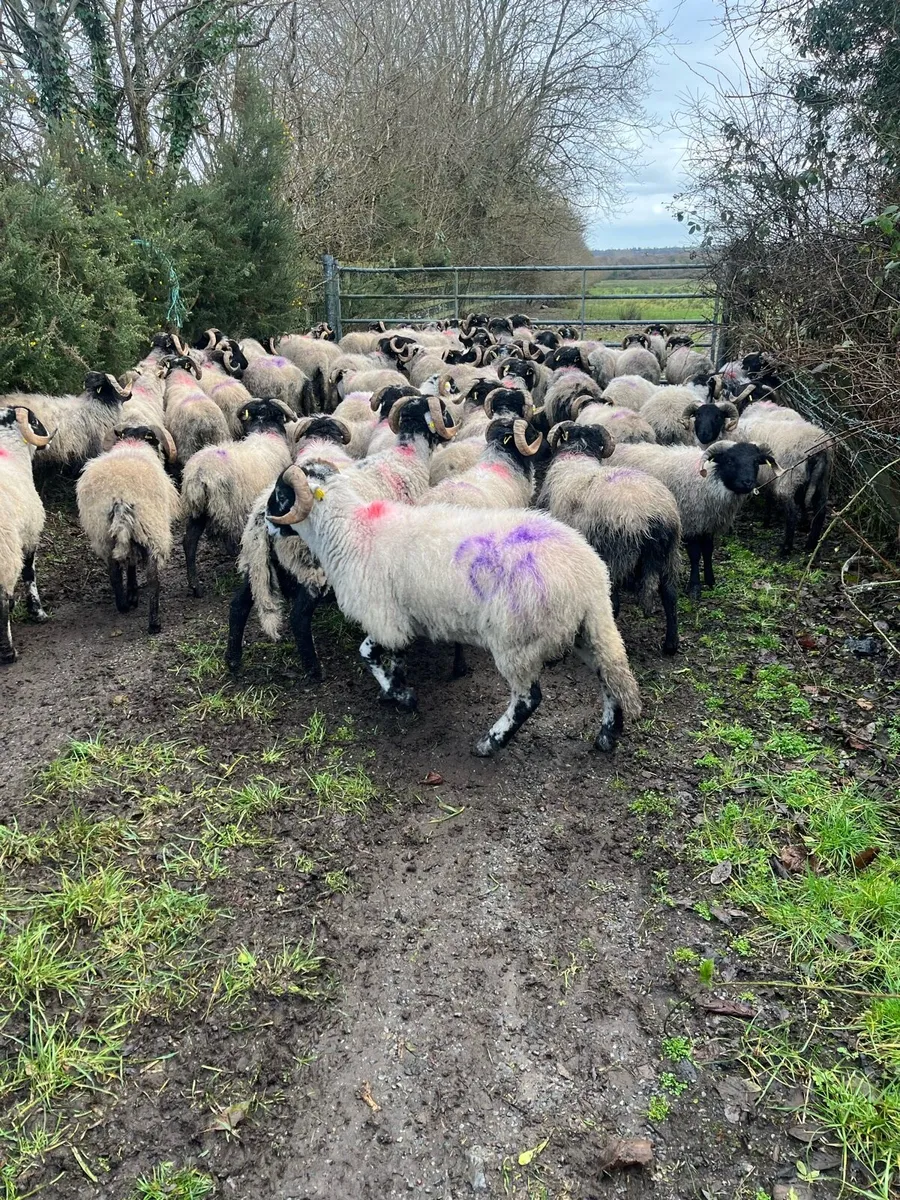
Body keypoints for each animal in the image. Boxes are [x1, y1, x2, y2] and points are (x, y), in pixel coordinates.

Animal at [76, 423, 180, 633]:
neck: (133, 442)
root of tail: (120, 496)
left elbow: (130, 562)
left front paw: (131, 594)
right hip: (152, 528)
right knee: (152, 578)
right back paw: (154, 623)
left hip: (103, 535)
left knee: (114, 573)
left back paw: (123, 605)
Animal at [265, 463, 641, 755]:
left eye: (281, 493)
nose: (267, 522)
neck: (352, 531)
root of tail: (590, 576)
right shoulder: (402, 618)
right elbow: (397, 656)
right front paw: (396, 690)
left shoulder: (384, 616)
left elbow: (367, 653)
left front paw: (400, 695)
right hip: (583, 629)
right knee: (608, 676)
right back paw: (607, 735)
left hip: (518, 640)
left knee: (528, 699)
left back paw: (490, 743)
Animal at [539, 421, 680, 654]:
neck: (577, 455)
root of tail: (655, 516)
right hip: (670, 552)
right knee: (670, 595)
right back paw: (671, 644)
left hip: (616, 555)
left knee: (614, 604)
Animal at [608, 440, 781, 597]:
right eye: (730, 461)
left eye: (755, 462)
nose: (748, 483)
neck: (709, 479)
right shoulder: (691, 523)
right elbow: (695, 554)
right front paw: (694, 586)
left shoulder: (708, 524)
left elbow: (708, 551)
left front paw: (710, 580)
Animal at [734, 412, 833, 554]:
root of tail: (818, 450)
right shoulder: (769, 477)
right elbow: (769, 497)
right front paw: (766, 521)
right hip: (823, 480)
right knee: (820, 511)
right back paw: (811, 545)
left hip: (789, 479)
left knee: (792, 514)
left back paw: (786, 548)